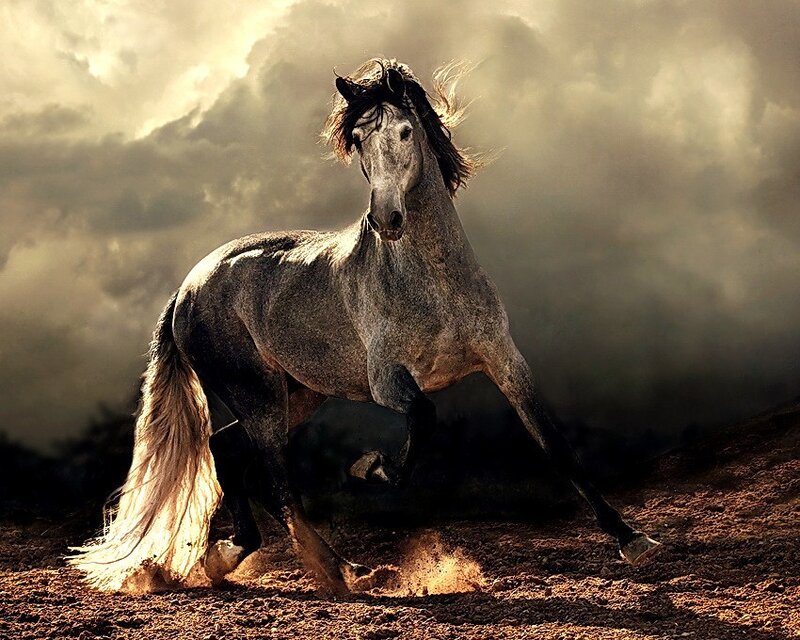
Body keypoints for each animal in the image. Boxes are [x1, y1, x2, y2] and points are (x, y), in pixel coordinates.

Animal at [69, 59, 661, 594]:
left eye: (405, 130)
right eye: (356, 139)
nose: (386, 219)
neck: (434, 281)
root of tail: (189, 285)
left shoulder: (505, 363)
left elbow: (555, 444)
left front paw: (633, 541)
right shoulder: (387, 380)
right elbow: (423, 417)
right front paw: (370, 469)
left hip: (297, 393)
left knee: (229, 452)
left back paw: (265, 559)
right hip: (258, 395)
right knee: (275, 479)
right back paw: (334, 572)